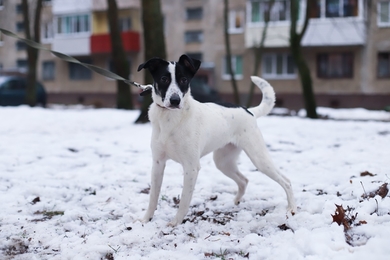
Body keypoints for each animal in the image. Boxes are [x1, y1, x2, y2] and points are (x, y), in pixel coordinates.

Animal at [137, 54, 296, 225]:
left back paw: (291, 208)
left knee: (286, 181)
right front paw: (146, 219)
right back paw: (236, 202)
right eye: (164, 79)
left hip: (259, 158)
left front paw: (175, 223)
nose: (175, 100)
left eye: (184, 80)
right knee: (244, 180)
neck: (170, 119)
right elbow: (153, 197)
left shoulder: (191, 167)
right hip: (223, 162)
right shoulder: (158, 163)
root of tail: (249, 111)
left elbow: (184, 200)